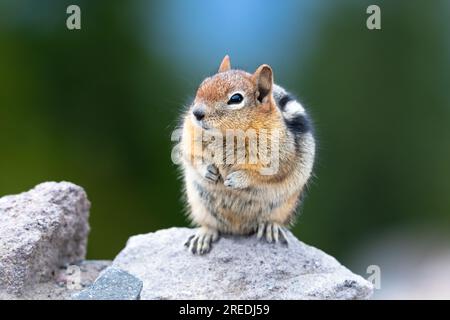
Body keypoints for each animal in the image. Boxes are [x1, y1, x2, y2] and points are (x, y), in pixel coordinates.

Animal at [178, 55, 314, 255]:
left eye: (236, 98)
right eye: (203, 84)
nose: (196, 113)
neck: (229, 135)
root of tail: (238, 230)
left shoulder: (282, 156)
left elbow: (266, 174)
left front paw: (238, 179)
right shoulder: (190, 136)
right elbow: (192, 156)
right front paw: (208, 171)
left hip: (283, 207)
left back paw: (270, 227)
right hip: (199, 204)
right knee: (211, 225)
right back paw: (203, 235)